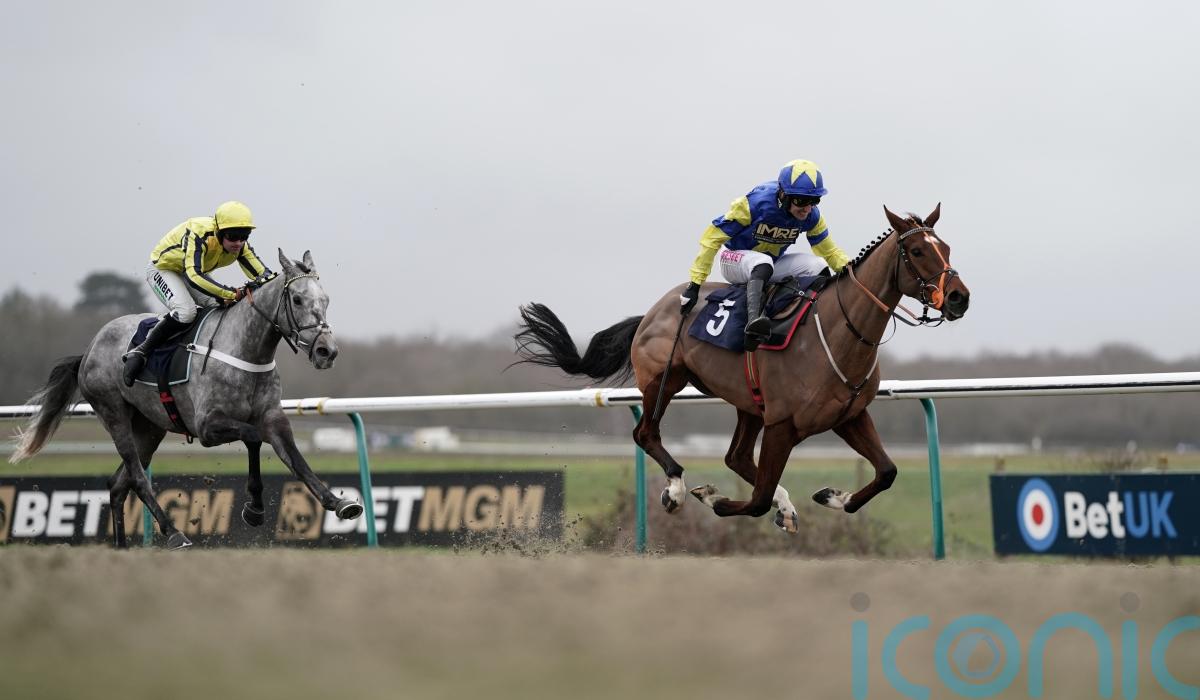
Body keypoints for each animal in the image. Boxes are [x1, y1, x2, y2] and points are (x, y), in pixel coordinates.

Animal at [9, 249, 363, 549]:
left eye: (325, 299)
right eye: (298, 298)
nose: (327, 351)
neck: (245, 349)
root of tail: (89, 350)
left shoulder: (272, 417)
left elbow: (297, 460)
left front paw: (340, 502)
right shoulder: (208, 426)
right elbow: (252, 438)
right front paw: (254, 509)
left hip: (149, 428)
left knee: (118, 483)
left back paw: (122, 548)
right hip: (113, 413)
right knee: (137, 477)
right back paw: (174, 532)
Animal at [514, 205, 969, 532]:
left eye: (946, 248)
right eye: (916, 251)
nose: (959, 298)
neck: (840, 331)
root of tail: (654, 311)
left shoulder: (849, 415)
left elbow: (888, 472)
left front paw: (832, 497)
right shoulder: (783, 424)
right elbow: (756, 500)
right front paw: (712, 498)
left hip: (748, 402)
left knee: (735, 457)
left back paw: (783, 505)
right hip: (664, 380)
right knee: (646, 433)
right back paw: (676, 489)